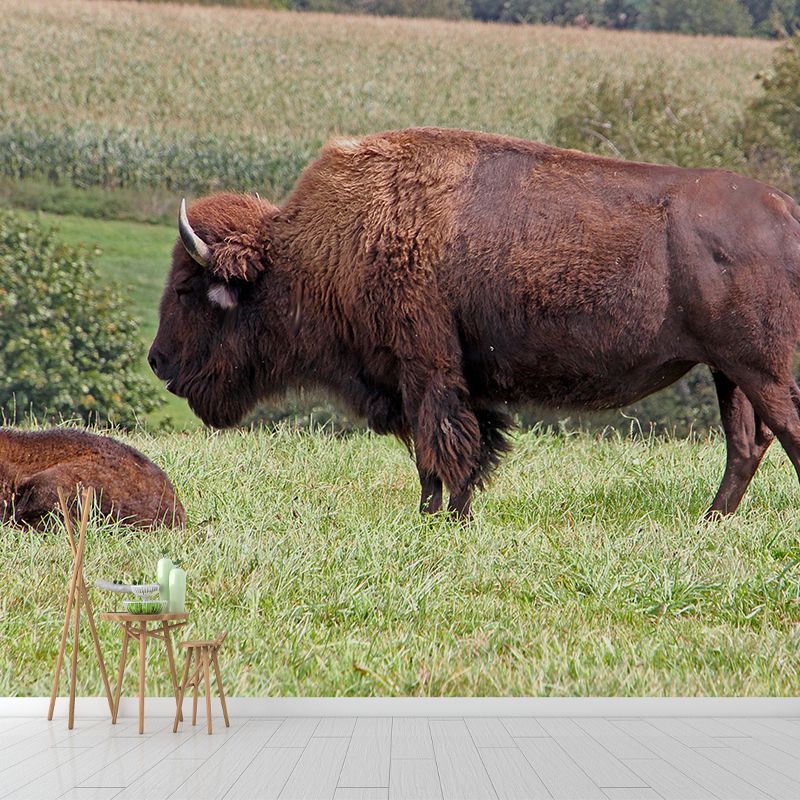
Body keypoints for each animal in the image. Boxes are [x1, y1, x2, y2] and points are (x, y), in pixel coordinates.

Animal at [149, 127, 800, 518]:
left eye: (187, 289)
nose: (157, 360)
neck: (320, 246)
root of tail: (783, 207)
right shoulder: (452, 381)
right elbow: (463, 448)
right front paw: (449, 515)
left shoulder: (425, 368)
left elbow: (439, 447)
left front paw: (435, 518)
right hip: (728, 372)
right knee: (746, 444)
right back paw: (707, 523)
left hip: (759, 369)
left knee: (781, 432)